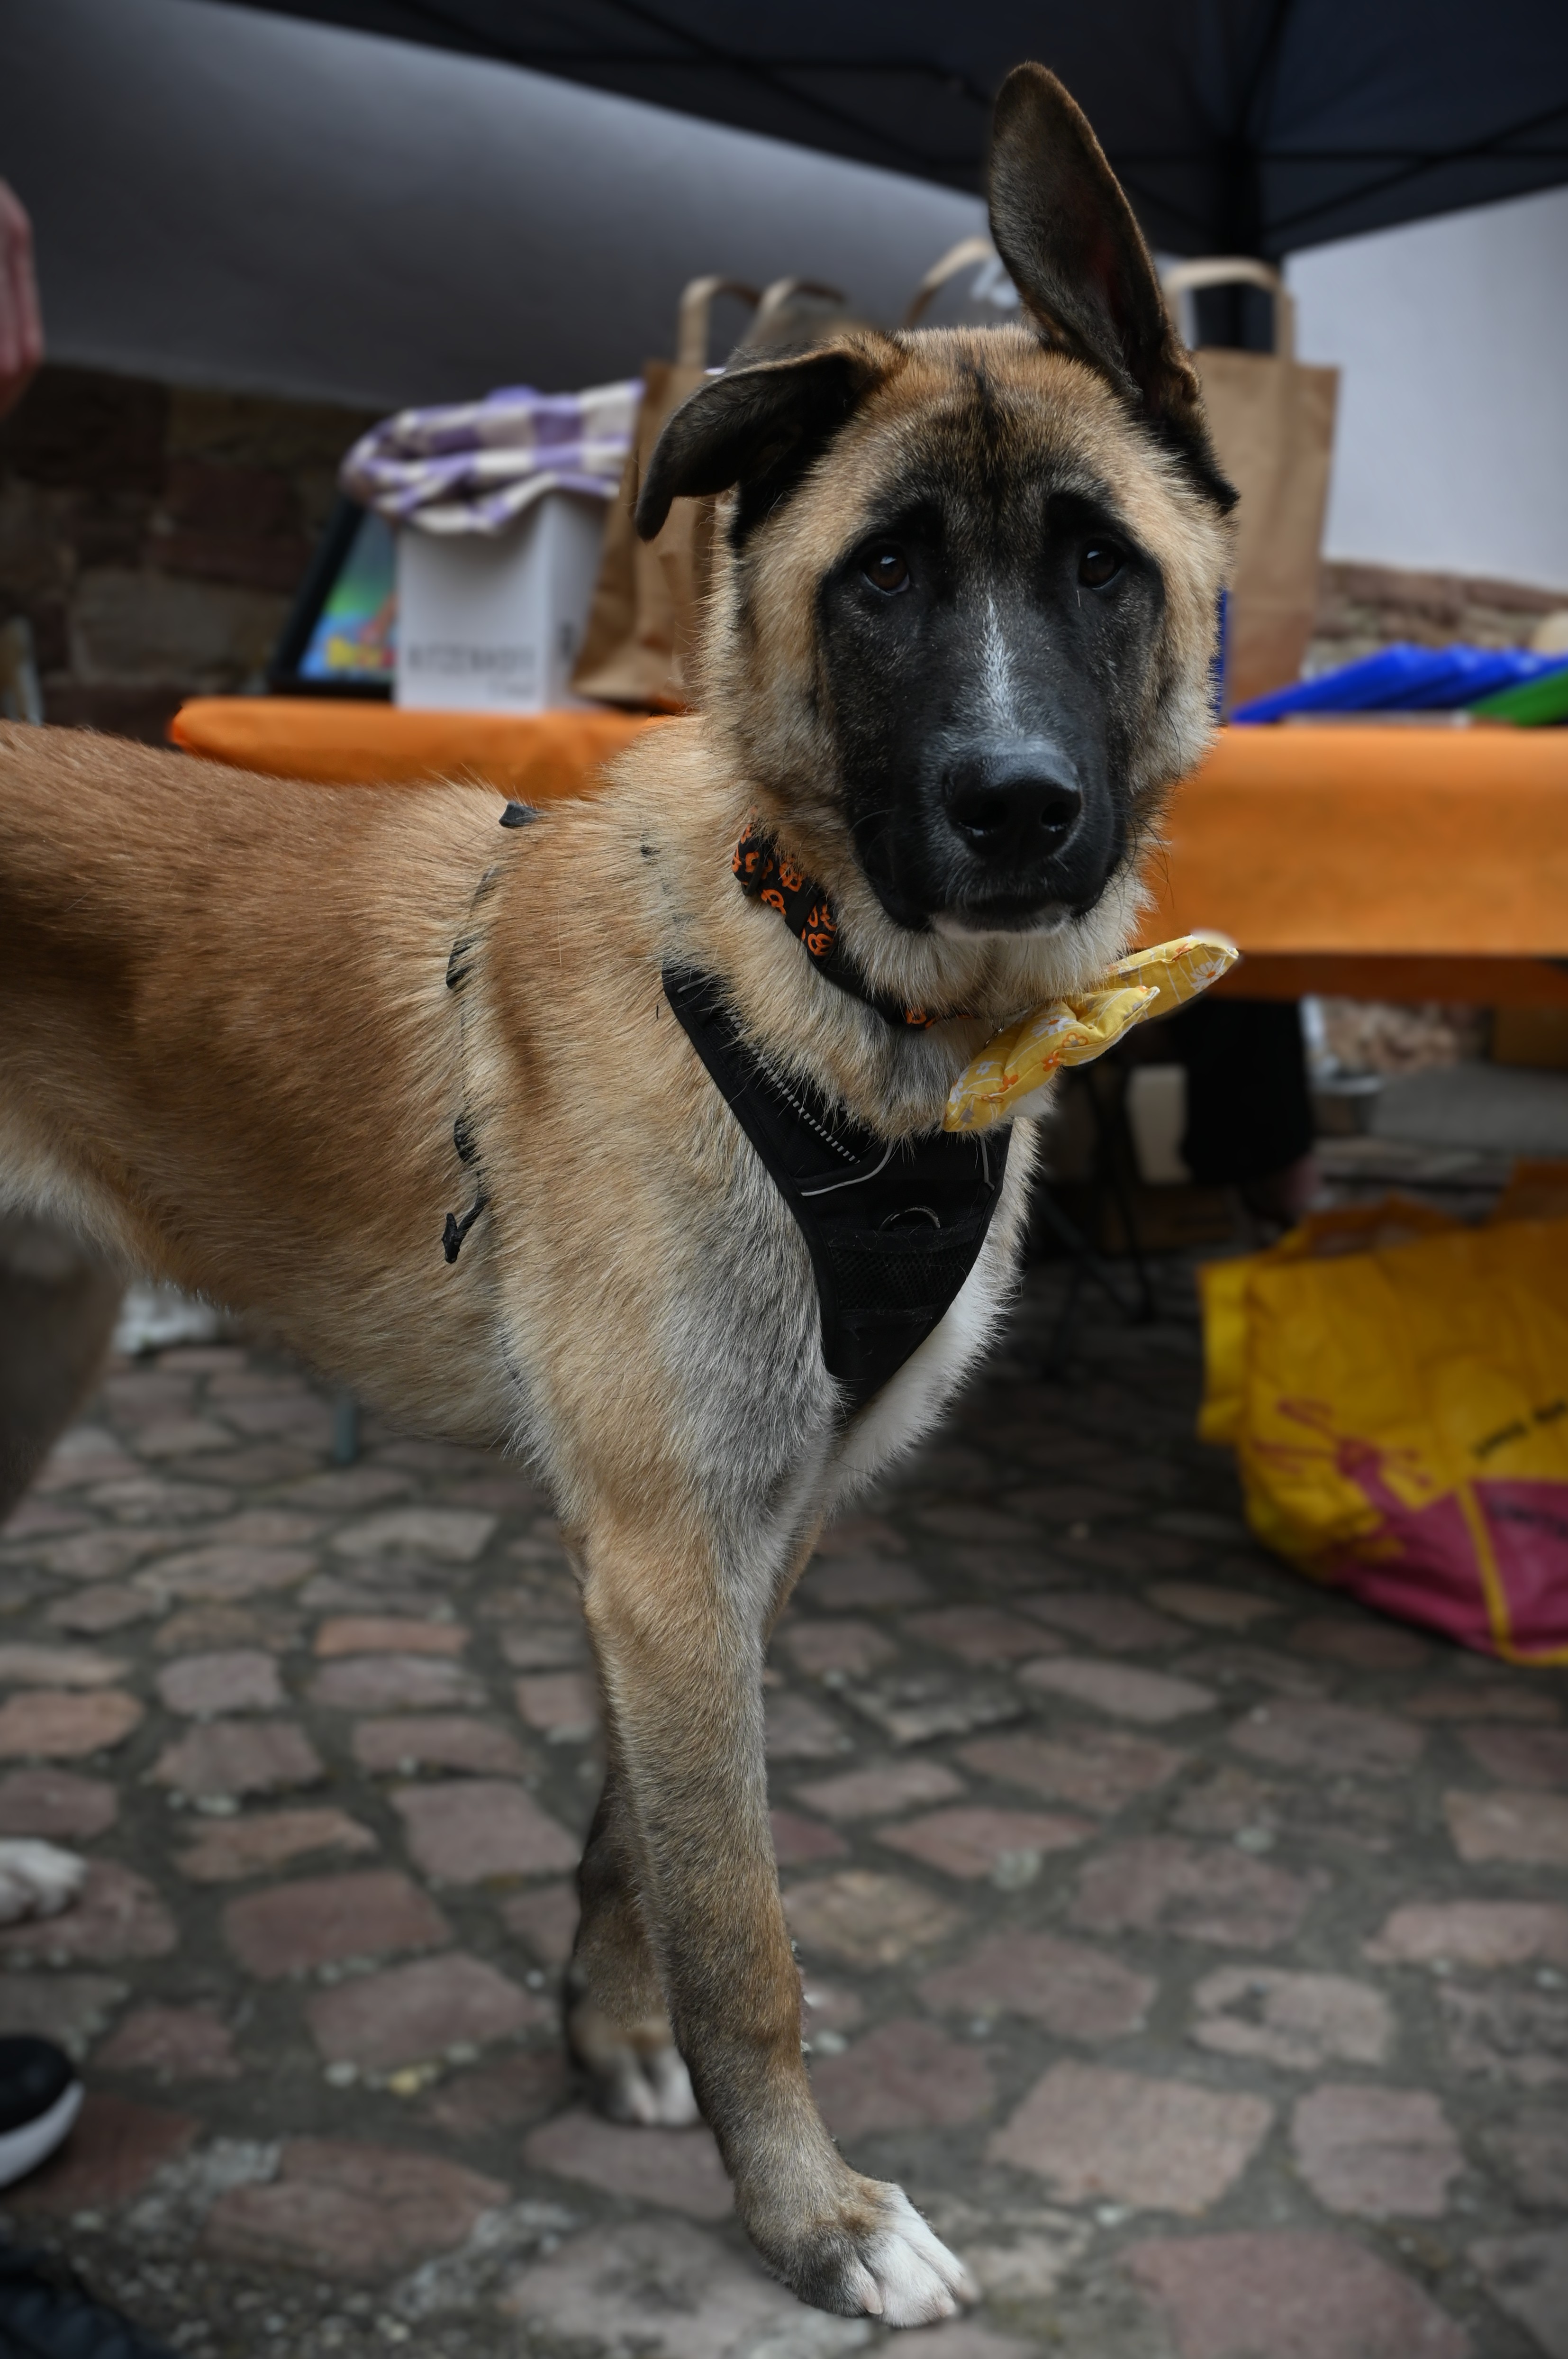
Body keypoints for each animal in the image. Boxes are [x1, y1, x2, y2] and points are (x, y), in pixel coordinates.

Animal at [0, 64, 1232, 2326]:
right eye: (882, 577)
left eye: (1100, 567)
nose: (1015, 811)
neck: (842, 991)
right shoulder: (666, 1550)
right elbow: (745, 1931)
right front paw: (813, 2218)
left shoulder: (733, 1544)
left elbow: (632, 1849)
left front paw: (608, 2044)